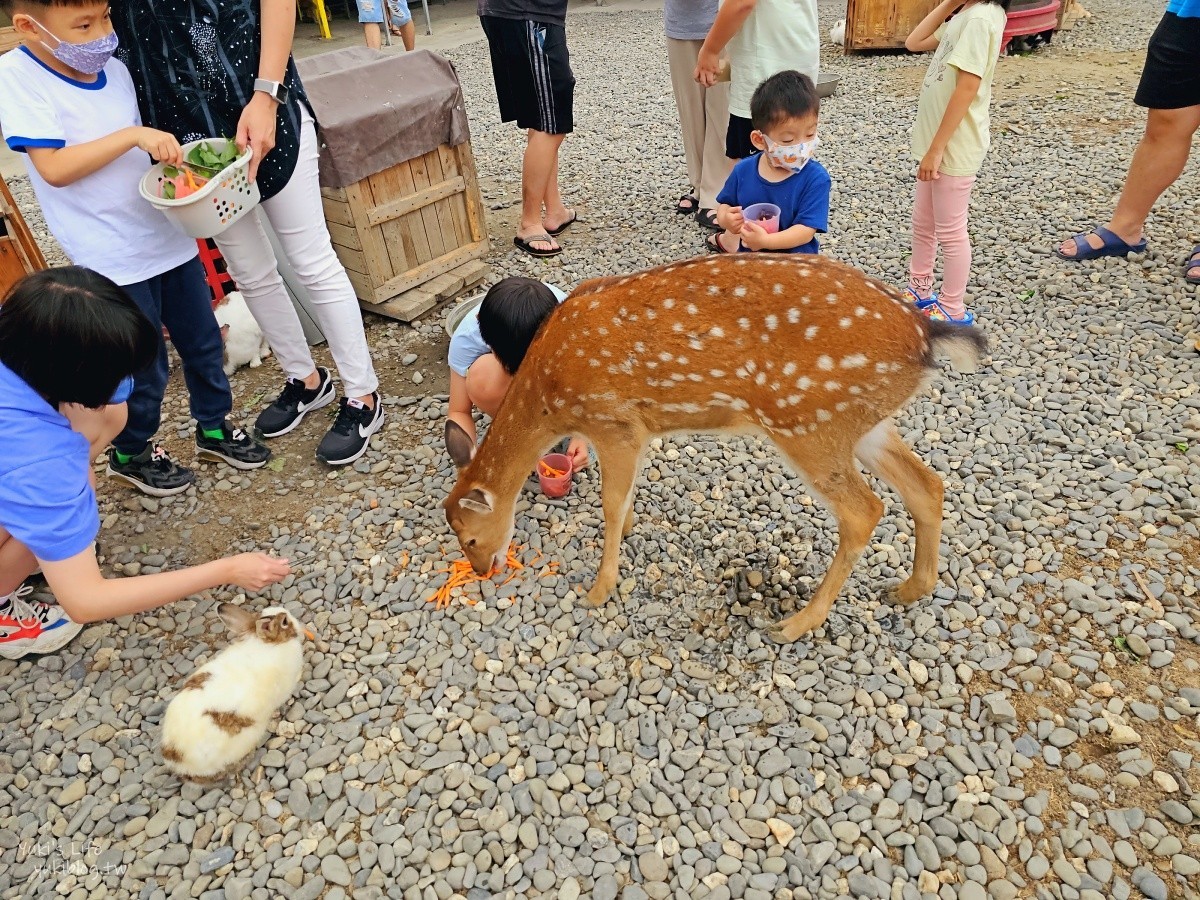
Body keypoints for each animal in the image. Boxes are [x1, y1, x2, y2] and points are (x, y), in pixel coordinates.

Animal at [441, 254, 984, 643]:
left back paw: (795, 625)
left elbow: (611, 502)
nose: (484, 570)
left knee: (865, 509)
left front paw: (598, 589)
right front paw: (629, 534)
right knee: (927, 484)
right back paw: (909, 589)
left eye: (469, 538)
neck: (552, 396)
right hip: (861, 422)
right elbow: (626, 494)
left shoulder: (616, 421)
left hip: (808, 421)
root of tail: (927, 334)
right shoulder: (635, 428)